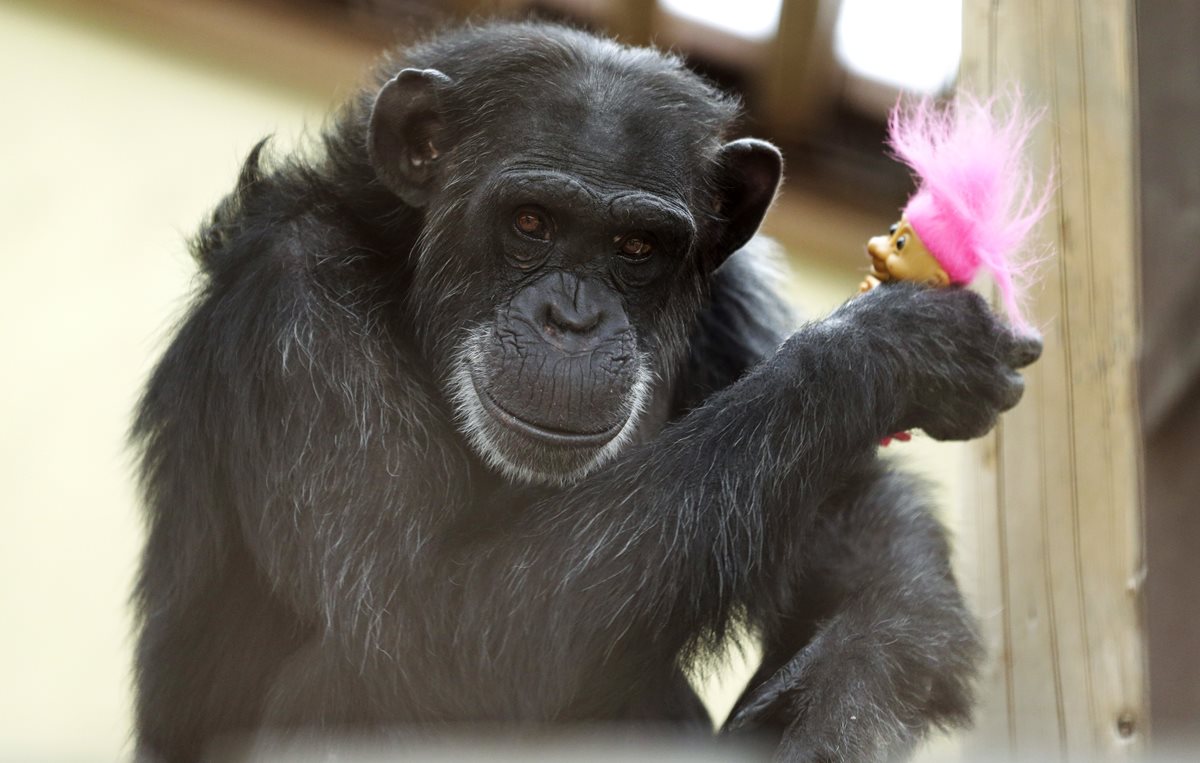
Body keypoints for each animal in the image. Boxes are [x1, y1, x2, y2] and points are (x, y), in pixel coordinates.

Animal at [131, 17, 1041, 763]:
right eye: (530, 221)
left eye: (636, 246)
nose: (572, 317)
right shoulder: (297, 308)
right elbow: (412, 636)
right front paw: (888, 348)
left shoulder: (733, 300)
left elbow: (857, 525)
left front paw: (839, 718)